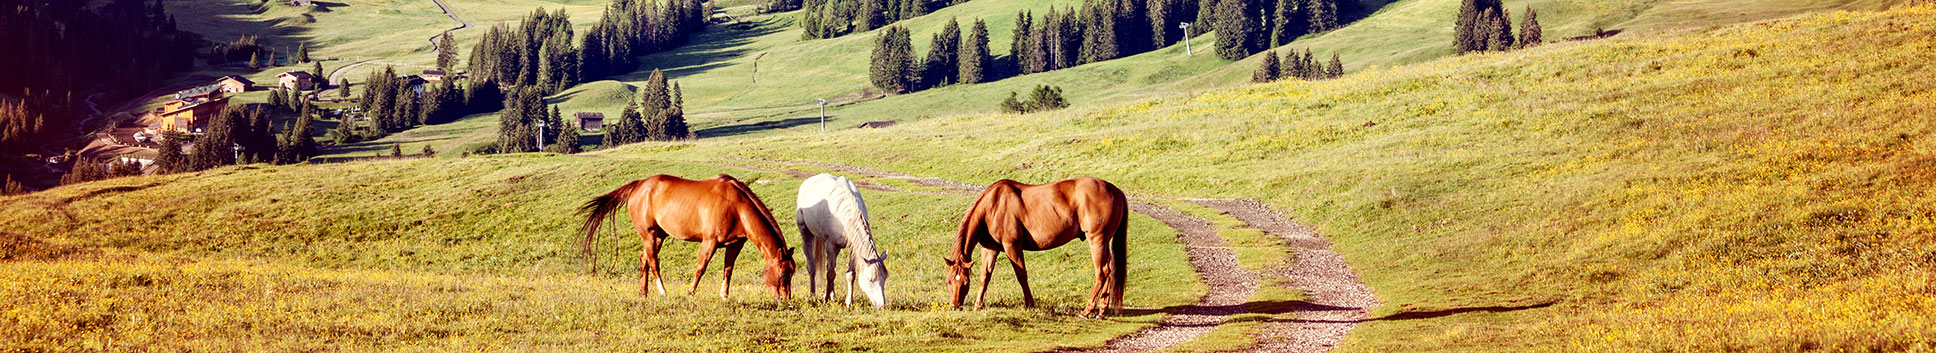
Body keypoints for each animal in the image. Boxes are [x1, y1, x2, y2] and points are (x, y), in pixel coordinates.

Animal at [573, 172, 793, 298]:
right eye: (783, 273)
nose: (785, 299)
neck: (736, 206)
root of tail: (638, 185)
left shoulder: (734, 244)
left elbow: (728, 270)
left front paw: (724, 295)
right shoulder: (709, 242)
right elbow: (700, 268)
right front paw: (691, 292)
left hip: (659, 236)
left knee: (644, 259)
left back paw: (643, 293)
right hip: (649, 235)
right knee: (653, 262)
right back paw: (662, 291)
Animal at [793, 173, 890, 308]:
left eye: (884, 278)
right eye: (871, 279)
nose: (882, 306)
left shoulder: (853, 248)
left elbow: (850, 274)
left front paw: (849, 302)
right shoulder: (830, 245)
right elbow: (830, 274)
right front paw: (826, 299)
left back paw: (833, 295)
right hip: (805, 233)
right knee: (812, 267)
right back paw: (813, 295)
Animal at [940, 176, 1130, 318]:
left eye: (965, 283)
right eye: (949, 281)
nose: (955, 306)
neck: (993, 206)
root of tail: (1116, 190)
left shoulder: (1012, 247)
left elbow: (1022, 275)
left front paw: (1030, 304)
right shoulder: (990, 249)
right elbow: (984, 277)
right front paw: (978, 306)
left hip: (1097, 240)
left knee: (1102, 272)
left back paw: (1087, 310)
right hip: (1103, 242)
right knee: (1109, 270)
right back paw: (1101, 310)